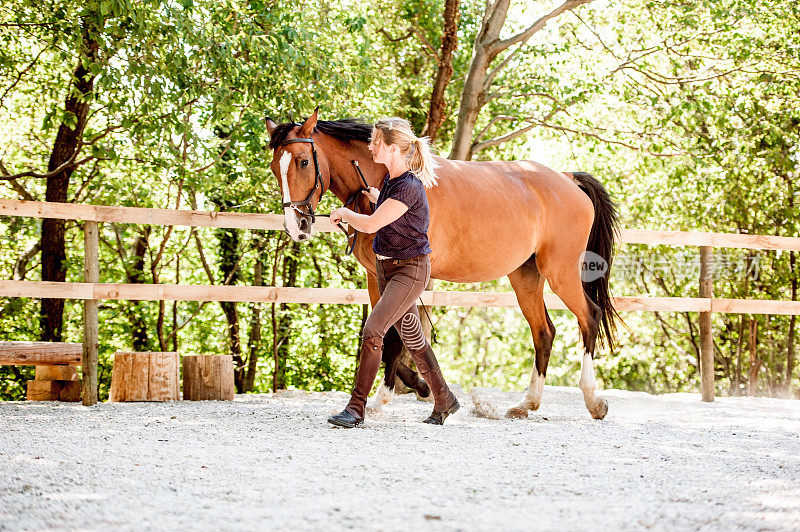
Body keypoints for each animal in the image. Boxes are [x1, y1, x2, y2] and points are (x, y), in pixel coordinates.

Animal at [268, 110, 620, 420]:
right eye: (274, 167)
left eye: (302, 161)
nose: (296, 226)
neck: (385, 180)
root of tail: (567, 179)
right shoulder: (376, 276)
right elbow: (388, 333)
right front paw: (421, 386)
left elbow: (394, 337)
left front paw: (381, 400)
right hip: (525, 277)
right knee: (544, 333)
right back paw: (526, 404)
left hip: (560, 273)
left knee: (589, 318)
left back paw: (594, 401)